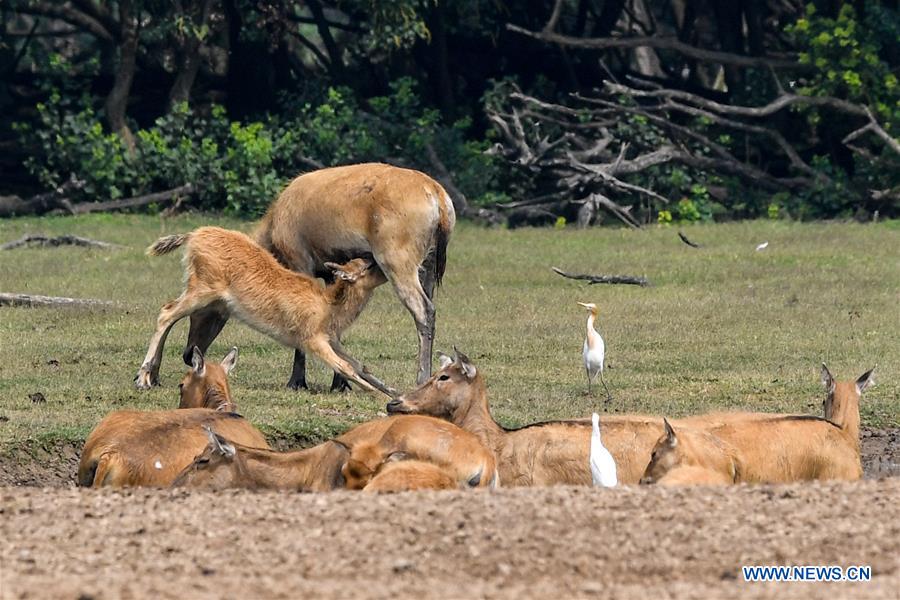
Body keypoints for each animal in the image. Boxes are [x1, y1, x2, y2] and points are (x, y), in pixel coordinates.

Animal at [133, 227, 394, 396]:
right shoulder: (312, 340)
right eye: (366, 266)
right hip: (202, 291)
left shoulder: (331, 340)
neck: (328, 305)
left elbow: (360, 365)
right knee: (166, 313)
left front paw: (393, 391)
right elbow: (345, 367)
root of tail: (194, 235)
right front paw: (380, 396)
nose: (383, 263)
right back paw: (143, 378)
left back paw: (152, 377)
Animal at [181, 162, 458, 392]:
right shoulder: (329, 271)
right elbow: (333, 325)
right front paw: (340, 384)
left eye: (203, 311)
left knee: (424, 310)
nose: (187, 354)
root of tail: (440, 199)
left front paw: (297, 381)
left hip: (397, 258)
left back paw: (421, 379)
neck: (273, 234)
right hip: (428, 264)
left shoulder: (299, 259)